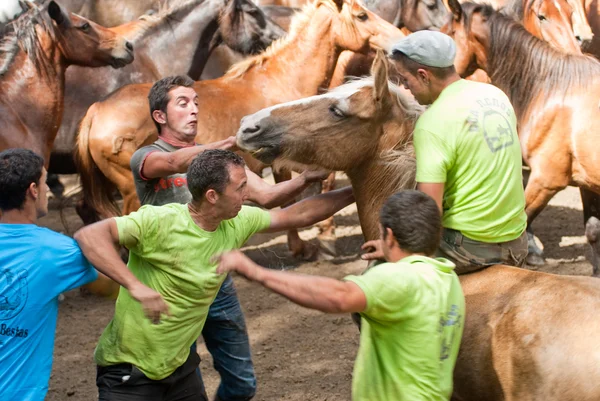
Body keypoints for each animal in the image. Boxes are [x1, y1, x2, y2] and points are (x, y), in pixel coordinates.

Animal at [75, 0, 404, 258]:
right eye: (362, 16)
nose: (398, 39)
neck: (280, 78)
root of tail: (95, 110)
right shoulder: (282, 161)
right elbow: (291, 199)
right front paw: (311, 245)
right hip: (130, 193)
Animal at [440, 0, 600, 272]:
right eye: (542, 16)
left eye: (448, 34)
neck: (553, 88)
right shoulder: (586, 182)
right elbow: (593, 231)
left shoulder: (546, 180)